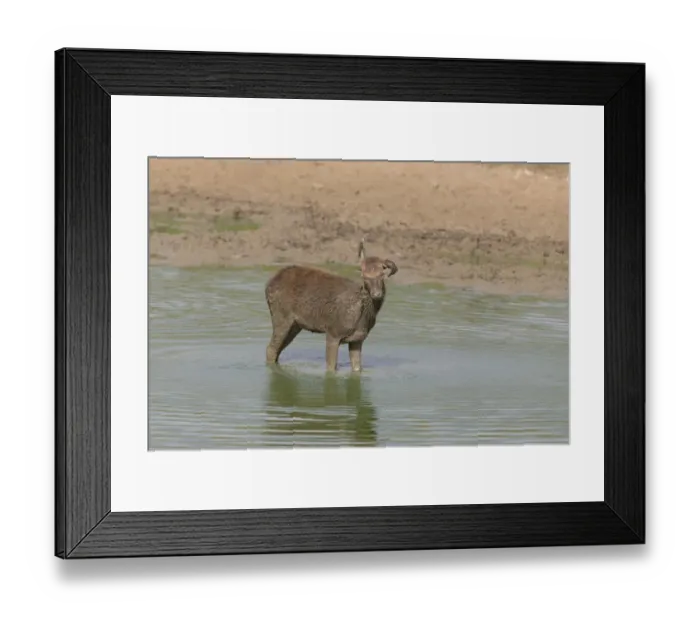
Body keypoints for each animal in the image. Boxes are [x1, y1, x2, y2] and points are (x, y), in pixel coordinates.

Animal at [264, 239, 398, 372]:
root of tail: (268, 285)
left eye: (382, 274)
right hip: (281, 316)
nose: (376, 294)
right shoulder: (333, 332)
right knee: (271, 349)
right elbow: (331, 368)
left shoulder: (358, 339)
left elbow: (357, 369)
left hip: (295, 325)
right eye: (364, 276)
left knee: (277, 350)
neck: (362, 317)